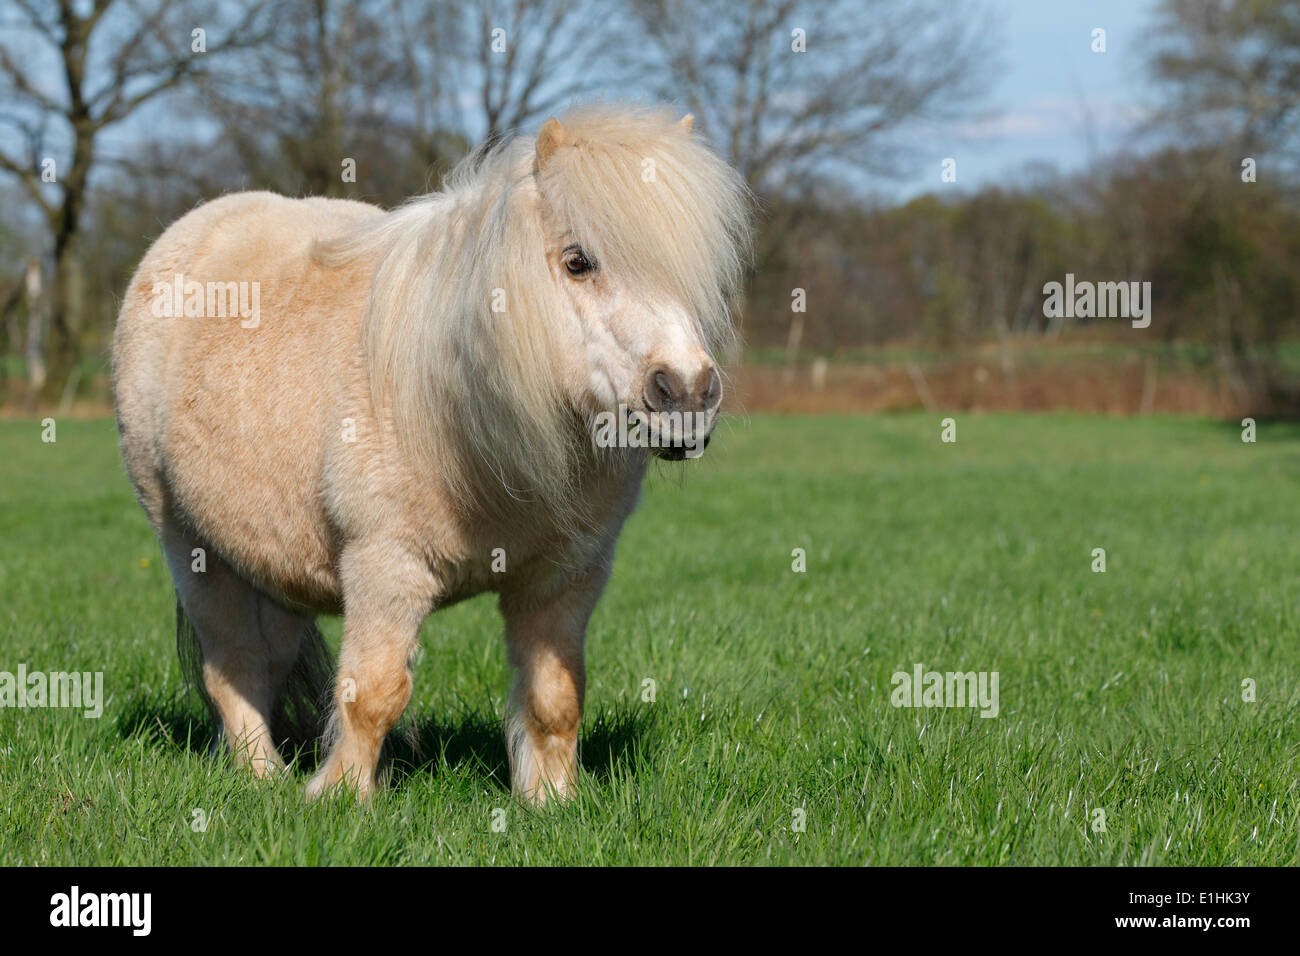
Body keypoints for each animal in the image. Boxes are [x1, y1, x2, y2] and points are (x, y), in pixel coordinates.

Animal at [118, 106, 759, 801]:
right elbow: (372, 695)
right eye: (578, 261)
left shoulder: (565, 578)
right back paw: (263, 777)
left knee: (267, 658)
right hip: (191, 549)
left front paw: (553, 802)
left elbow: (555, 699)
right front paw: (339, 800)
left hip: (272, 568)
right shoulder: (386, 568)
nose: (687, 394)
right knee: (232, 666)